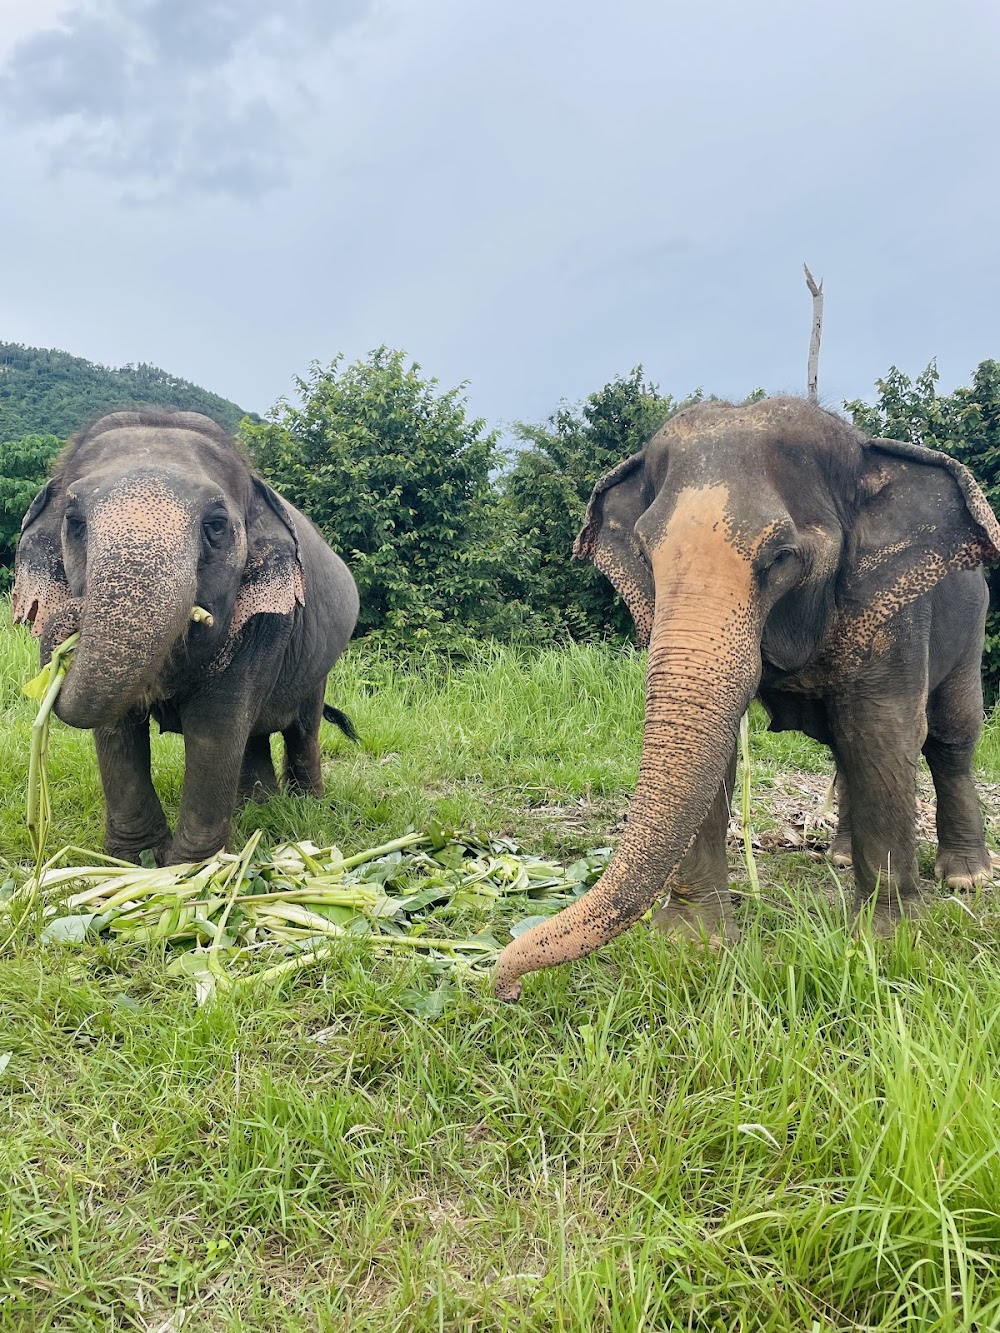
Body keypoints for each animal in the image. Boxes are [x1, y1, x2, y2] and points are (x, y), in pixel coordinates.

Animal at [10, 407, 360, 863]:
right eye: (74, 522)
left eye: (216, 525)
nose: (72, 616)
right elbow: (116, 729)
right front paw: (137, 862)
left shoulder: (263, 622)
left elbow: (216, 726)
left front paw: (194, 870)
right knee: (255, 735)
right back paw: (258, 807)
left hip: (319, 665)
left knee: (303, 727)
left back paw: (306, 806)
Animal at [498, 394, 1000, 1002]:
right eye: (643, 550)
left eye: (782, 556)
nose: (504, 986)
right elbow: (723, 751)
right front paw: (693, 946)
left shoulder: (893, 616)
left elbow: (883, 736)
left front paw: (885, 946)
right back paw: (839, 857)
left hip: (971, 626)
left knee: (950, 737)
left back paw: (966, 878)